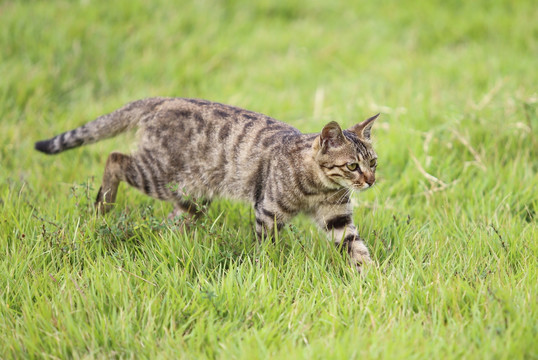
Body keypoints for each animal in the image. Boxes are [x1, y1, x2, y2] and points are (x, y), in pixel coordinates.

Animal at [34, 97, 376, 272]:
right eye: (352, 166)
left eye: (373, 162)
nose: (371, 181)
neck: (319, 188)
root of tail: (162, 99)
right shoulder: (268, 211)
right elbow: (267, 248)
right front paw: (267, 270)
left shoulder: (337, 218)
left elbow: (356, 248)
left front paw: (373, 280)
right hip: (157, 174)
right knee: (114, 158)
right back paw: (103, 205)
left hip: (193, 196)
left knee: (172, 222)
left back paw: (171, 244)